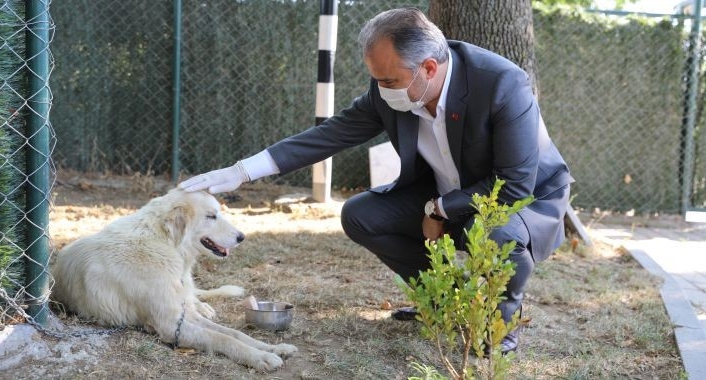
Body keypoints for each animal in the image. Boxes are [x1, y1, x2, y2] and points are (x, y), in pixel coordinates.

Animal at [51, 188, 296, 372]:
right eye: (211, 216)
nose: (241, 237)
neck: (166, 245)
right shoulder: (170, 325)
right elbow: (222, 338)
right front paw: (260, 357)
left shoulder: (183, 314)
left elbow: (234, 333)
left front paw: (274, 348)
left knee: (196, 298)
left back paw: (205, 306)